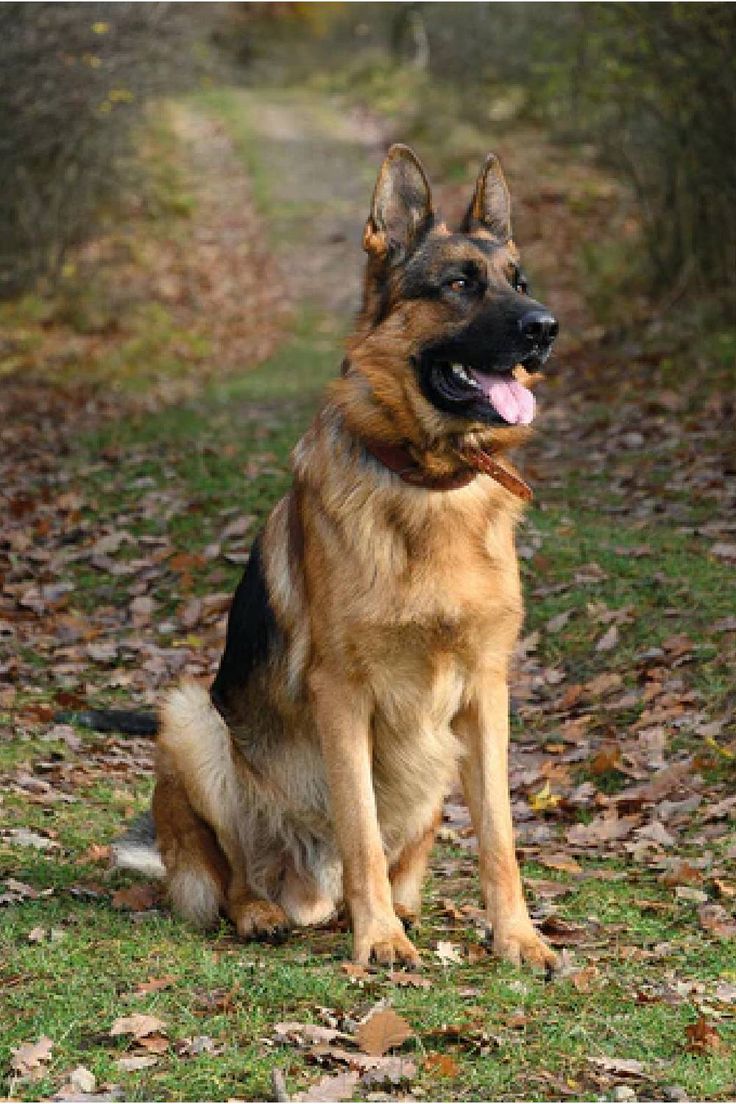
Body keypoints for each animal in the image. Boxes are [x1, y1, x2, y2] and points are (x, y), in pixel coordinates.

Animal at [115, 144, 560, 967]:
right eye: (459, 284)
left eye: (519, 282)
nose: (546, 328)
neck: (428, 484)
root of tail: (309, 895)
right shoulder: (342, 693)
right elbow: (358, 824)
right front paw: (378, 938)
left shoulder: (487, 691)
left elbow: (501, 837)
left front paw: (516, 936)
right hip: (192, 718)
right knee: (233, 874)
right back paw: (266, 910)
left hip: (434, 770)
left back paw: (403, 906)